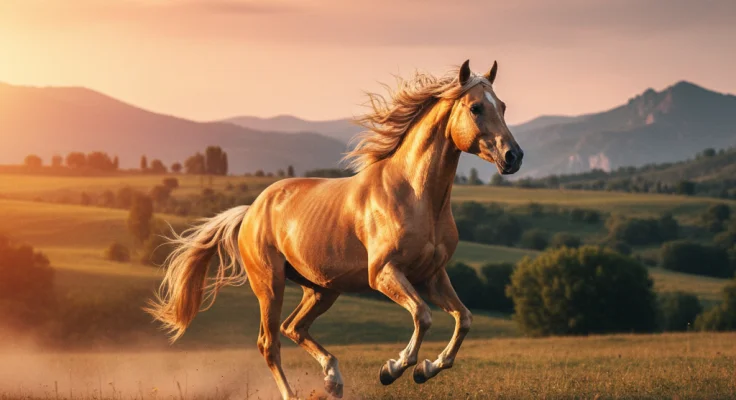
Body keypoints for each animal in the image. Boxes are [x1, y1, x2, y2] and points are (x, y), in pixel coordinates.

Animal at [146, 59, 523, 400]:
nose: (514, 156)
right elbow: (423, 315)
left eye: (503, 106)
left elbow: (464, 318)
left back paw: (333, 380)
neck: (416, 195)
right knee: (269, 342)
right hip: (270, 284)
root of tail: (250, 211)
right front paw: (393, 369)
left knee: (294, 327)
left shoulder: (432, 275)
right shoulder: (383, 273)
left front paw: (425, 370)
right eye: (475, 107)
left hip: (321, 289)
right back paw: (297, 393)